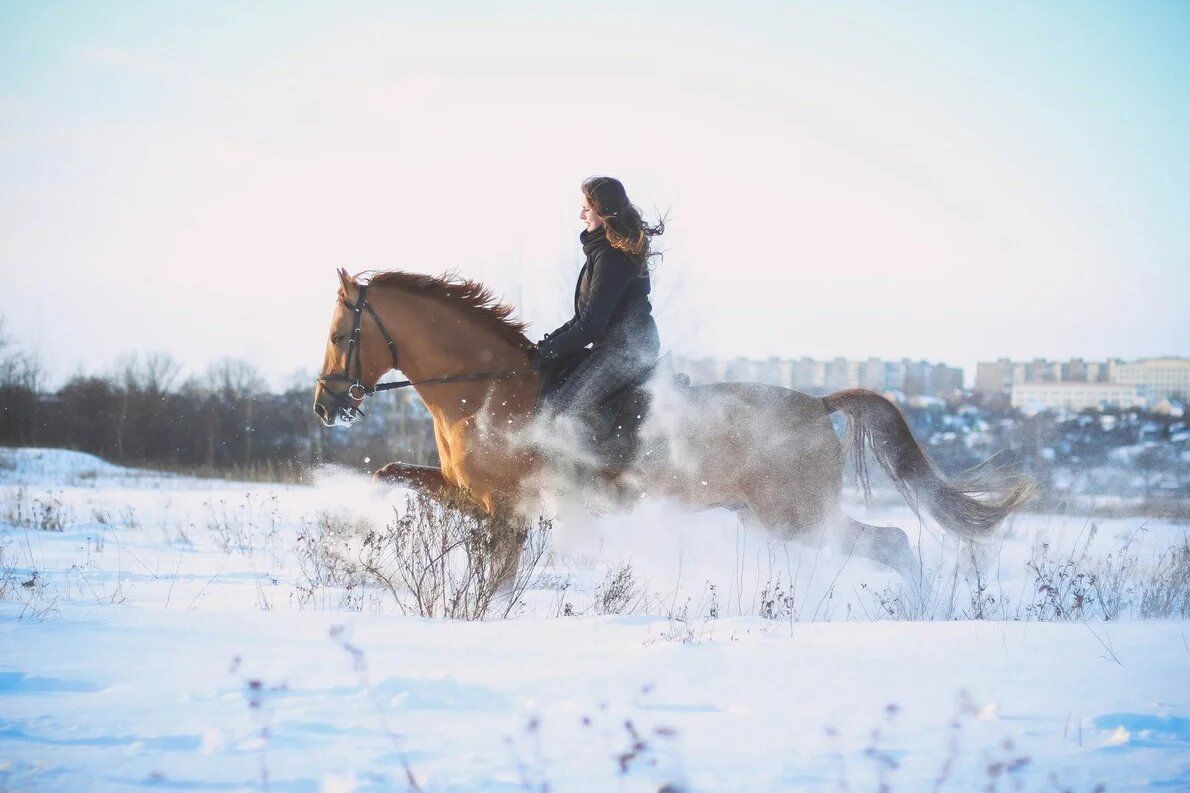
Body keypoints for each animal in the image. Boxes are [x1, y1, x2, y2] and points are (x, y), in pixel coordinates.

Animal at [314, 266, 1032, 573]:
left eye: (339, 332)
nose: (325, 404)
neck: (484, 393)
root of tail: (817, 404)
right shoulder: (474, 495)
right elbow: (390, 473)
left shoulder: (508, 508)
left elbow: (499, 577)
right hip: (773, 517)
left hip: (795, 515)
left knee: (891, 544)